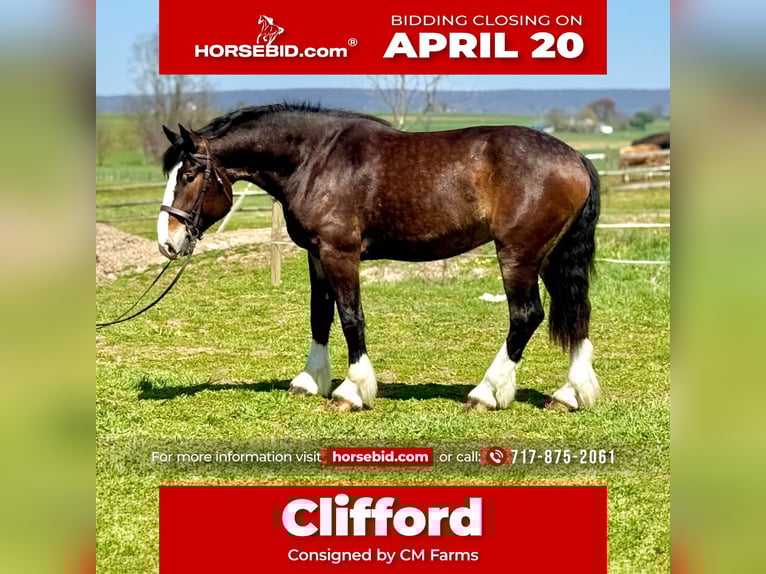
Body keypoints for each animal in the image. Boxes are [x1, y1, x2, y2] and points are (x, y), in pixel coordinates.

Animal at [157, 103, 601, 412]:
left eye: (189, 175)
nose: (167, 242)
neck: (316, 160)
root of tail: (576, 158)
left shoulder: (340, 254)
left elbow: (351, 317)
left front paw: (352, 390)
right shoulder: (317, 256)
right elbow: (320, 315)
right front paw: (310, 381)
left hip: (518, 255)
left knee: (526, 316)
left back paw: (486, 393)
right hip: (552, 256)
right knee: (578, 312)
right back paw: (569, 394)